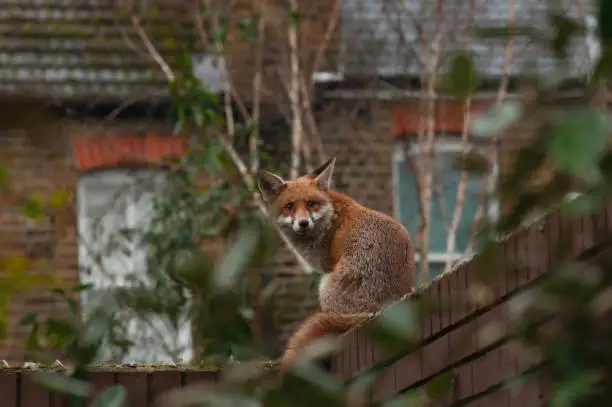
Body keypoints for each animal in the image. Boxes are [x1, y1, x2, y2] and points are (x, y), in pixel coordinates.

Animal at [253, 159, 416, 372]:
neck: (331, 215)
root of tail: (380, 309)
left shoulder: (327, 265)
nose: (303, 223)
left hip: (325, 287)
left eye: (311, 203)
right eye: (289, 206)